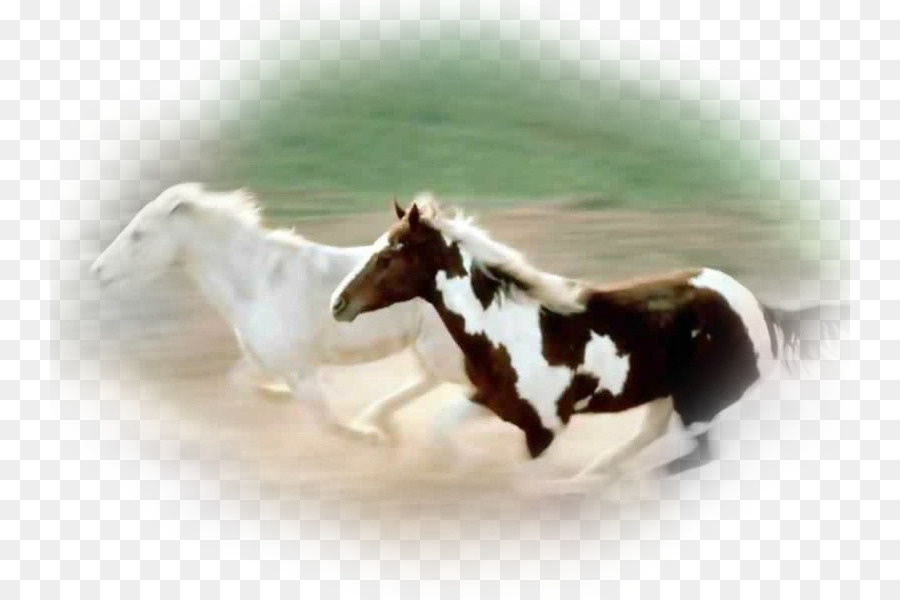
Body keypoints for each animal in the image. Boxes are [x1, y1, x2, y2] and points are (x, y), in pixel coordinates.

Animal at [90, 183, 487, 449]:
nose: (97, 271)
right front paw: (278, 396)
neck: (255, 283)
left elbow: (324, 419)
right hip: (429, 348)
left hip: (443, 350)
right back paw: (382, 420)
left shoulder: (300, 366)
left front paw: (370, 439)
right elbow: (240, 382)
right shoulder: (264, 357)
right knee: (428, 381)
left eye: (139, 234)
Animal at [330, 198, 843, 478]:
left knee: (694, 456)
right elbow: (441, 430)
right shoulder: (492, 401)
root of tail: (765, 310)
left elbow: (523, 478)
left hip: (702, 401)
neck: (509, 331)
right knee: (652, 436)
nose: (339, 303)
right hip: (670, 394)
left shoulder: (545, 427)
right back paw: (596, 474)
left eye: (390, 255)